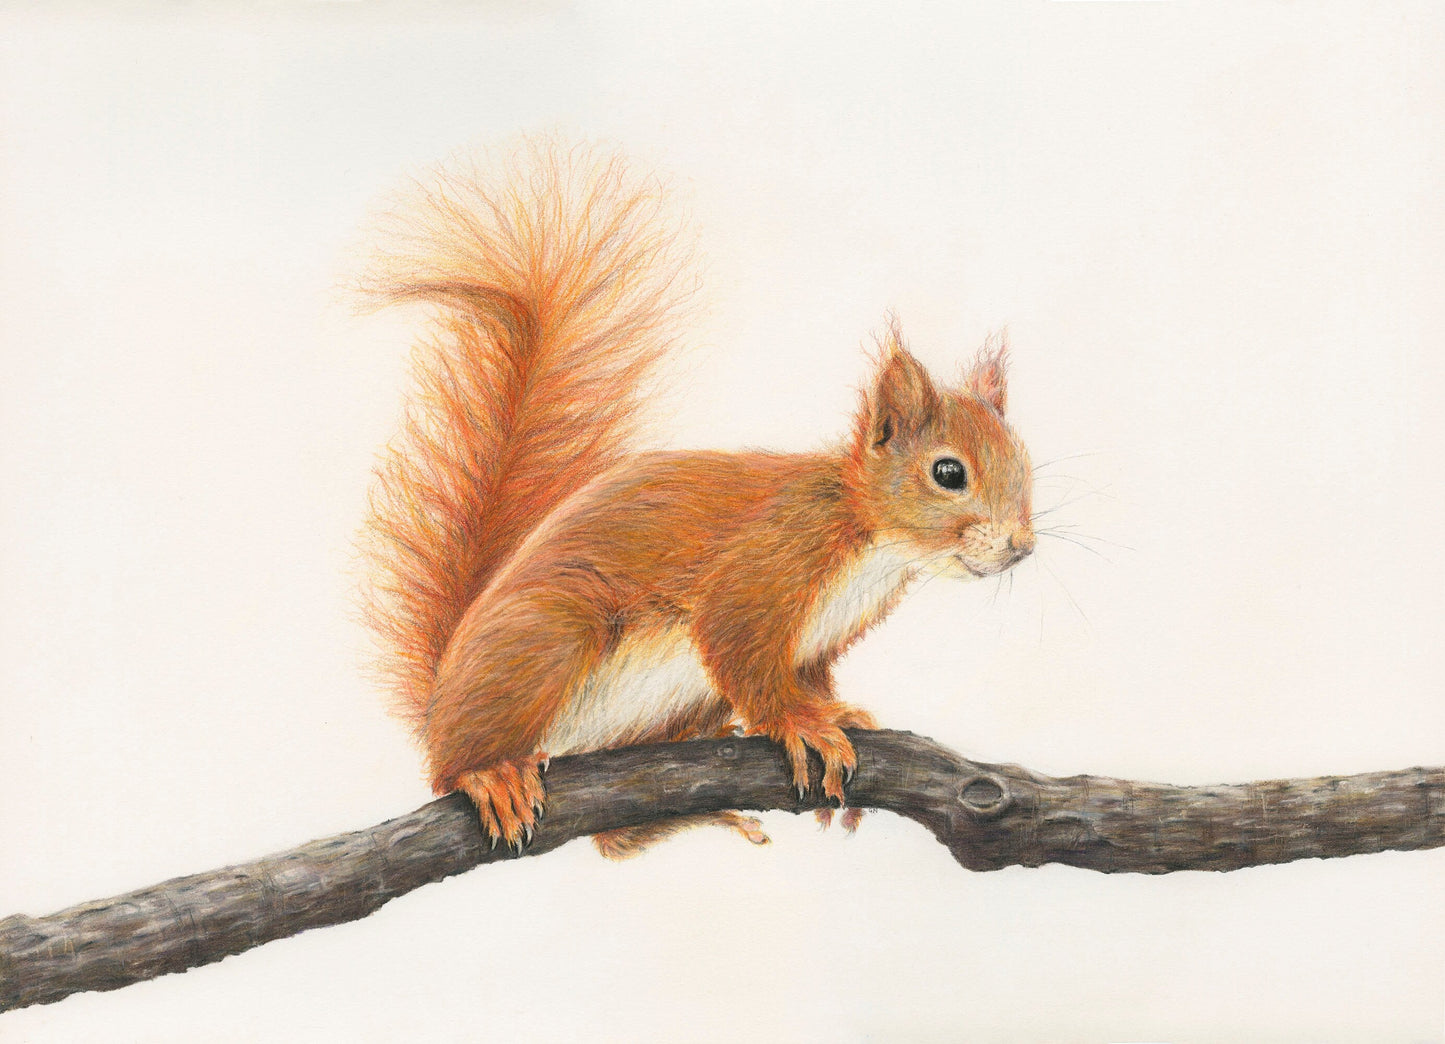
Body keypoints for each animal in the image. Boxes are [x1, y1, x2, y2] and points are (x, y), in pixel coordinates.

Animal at [361, 144, 1035, 859]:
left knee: (613, 839)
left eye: (1024, 463)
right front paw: (800, 722)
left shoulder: (817, 642)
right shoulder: (769, 561)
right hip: (541, 641)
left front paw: (837, 711)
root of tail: (441, 693)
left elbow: (810, 677)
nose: (1022, 546)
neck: (868, 540)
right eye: (948, 472)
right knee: (452, 763)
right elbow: (737, 645)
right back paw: (489, 774)